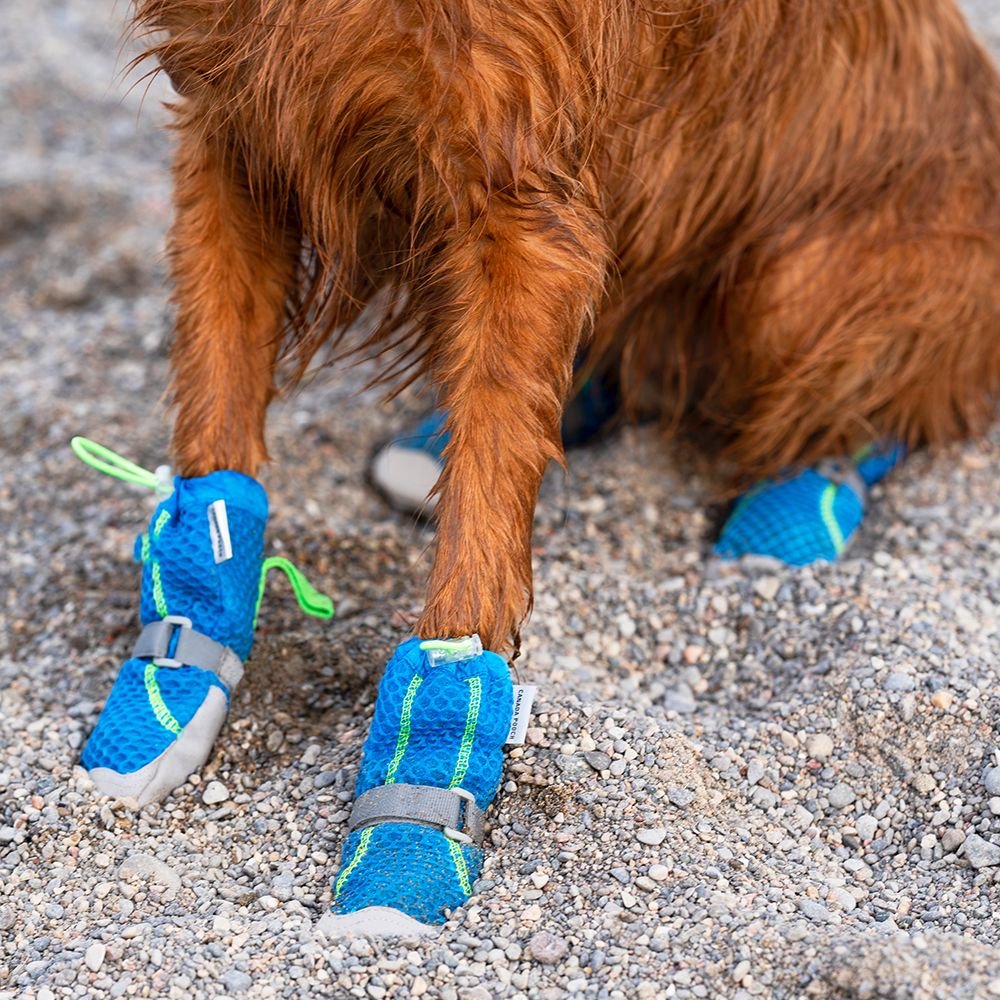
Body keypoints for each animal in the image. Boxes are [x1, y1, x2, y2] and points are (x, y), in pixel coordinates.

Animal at [129, 0, 996, 652]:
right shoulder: (236, 132)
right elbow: (216, 410)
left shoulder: (523, 207)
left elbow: (483, 519)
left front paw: (432, 739)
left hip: (789, 286)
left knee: (865, 407)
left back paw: (799, 505)